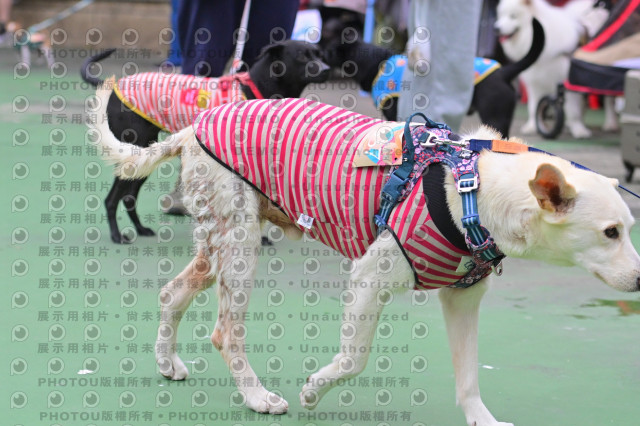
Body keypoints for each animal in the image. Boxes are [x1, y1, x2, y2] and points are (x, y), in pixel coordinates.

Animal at [81, 40, 330, 243]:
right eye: (302, 56)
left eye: (318, 54)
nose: (326, 69)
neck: (255, 87)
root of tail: (114, 89)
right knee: (112, 199)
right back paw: (117, 236)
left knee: (128, 197)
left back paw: (141, 229)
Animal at [90, 88, 640, 424]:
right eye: (610, 233)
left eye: (628, 230)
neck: (471, 189)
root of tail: (194, 127)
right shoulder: (370, 278)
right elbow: (354, 360)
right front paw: (314, 391)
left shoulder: (464, 300)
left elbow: (468, 376)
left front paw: (482, 420)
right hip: (240, 247)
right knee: (226, 331)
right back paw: (257, 396)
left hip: (217, 250)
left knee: (172, 292)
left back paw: (167, 363)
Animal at [496, 0, 618, 138]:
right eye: (501, 16)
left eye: (513, 16)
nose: (496, 28)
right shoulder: (535, 82)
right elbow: (533, 107)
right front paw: (532, 126)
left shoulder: (568, 82)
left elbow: (573, 110)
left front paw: (579, 130)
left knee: (609, 101)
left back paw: (610, 124)